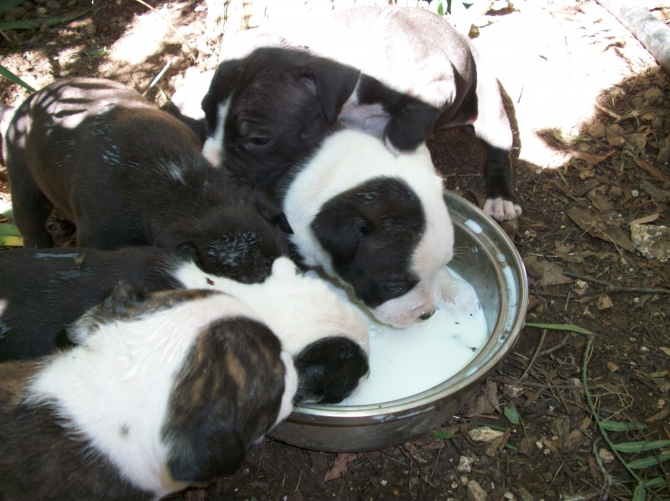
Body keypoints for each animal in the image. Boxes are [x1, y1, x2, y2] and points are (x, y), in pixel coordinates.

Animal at [181, 5, 524, 221]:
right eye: (206, 115)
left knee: (498, 151)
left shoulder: (433, 86)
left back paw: (501, 199)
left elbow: (399, 136)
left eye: (258, 139)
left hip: (490, 113)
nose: (209, 166)